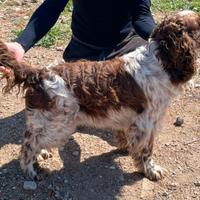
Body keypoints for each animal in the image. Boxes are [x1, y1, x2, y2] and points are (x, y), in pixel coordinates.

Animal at [0, 9, 199, 181]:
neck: (161, 59)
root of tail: (39, 73)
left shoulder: (131, 120)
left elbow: (125, 138)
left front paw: (126, 148)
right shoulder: (146, 123)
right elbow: (146, 151)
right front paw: (151, 170)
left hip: (48, 122)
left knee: (33, 137)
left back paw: (41, 154)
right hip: (59, 125)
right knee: (28, 145)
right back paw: (32, 171)